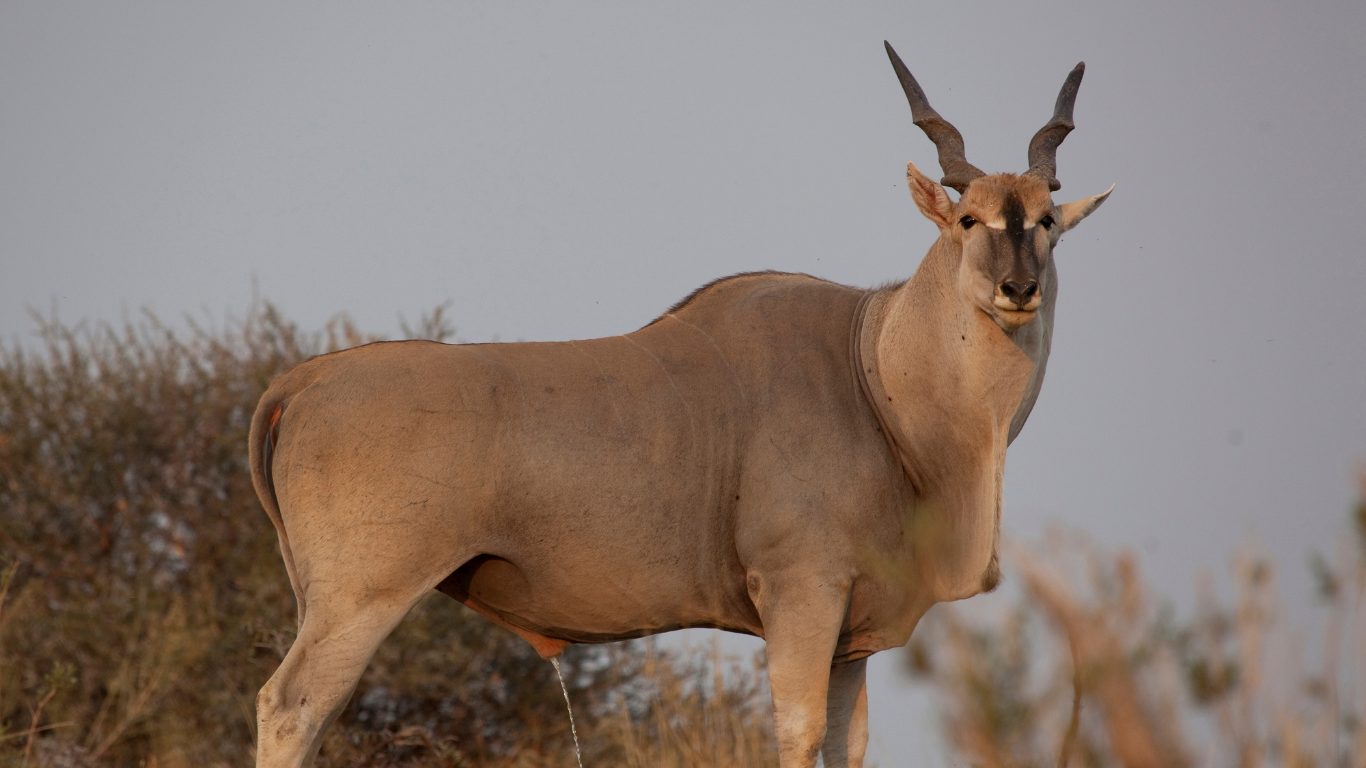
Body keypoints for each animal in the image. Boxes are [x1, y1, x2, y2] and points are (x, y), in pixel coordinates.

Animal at [250, 41, 1111, 767]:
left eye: (1045, 223)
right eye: (968, 219)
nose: (1018, 289)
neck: (876, 375)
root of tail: (302, 383)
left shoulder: (850, 639)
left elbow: (845, 745)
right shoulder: (801, 593)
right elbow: (797, 735)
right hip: (359, 600)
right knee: (291, 706)